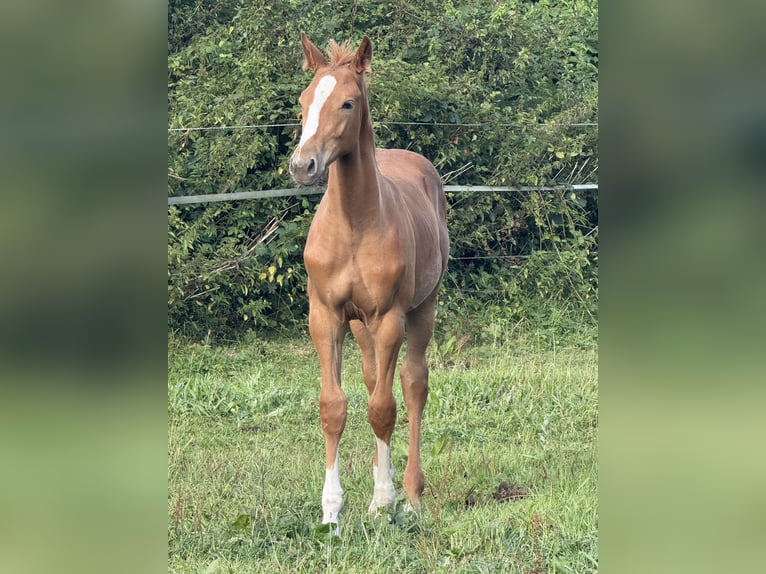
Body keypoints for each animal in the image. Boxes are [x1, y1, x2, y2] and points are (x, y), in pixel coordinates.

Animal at [289, 33, 449, 525]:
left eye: (347, 102)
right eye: (303, 101)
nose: (302, 165)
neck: (353, 226)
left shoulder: (390, 317)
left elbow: (383, 408)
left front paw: (386, 498)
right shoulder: (325, 317)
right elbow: (334, 406)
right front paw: (331, 511)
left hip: (422, 308)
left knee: (412, 384)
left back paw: (410, 492)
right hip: (361, 326)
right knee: (373, 377)